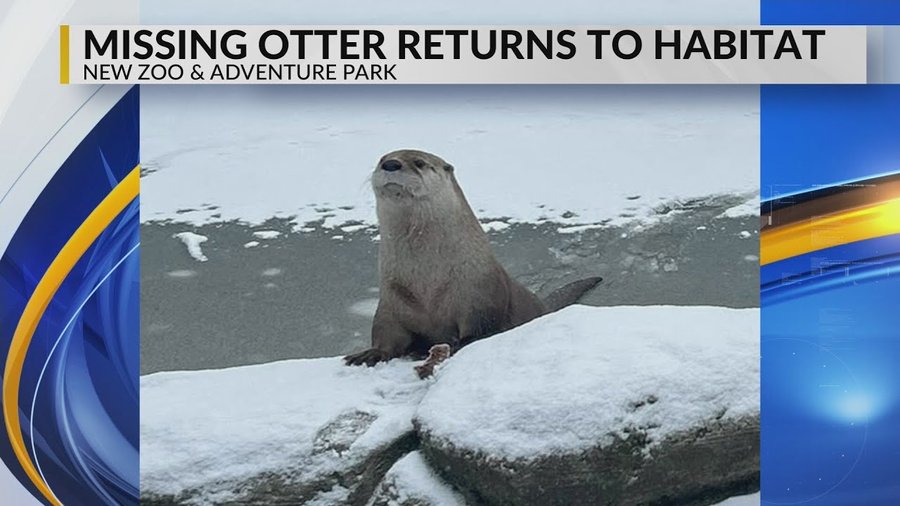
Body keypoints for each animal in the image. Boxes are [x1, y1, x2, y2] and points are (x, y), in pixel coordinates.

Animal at [344, 149, 601, 367]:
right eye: (382, 158)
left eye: (419, 162)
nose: (391, 164)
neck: (428, 284)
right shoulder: (392, 298)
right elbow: (386, 333)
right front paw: (370, 353)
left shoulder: (480, 295)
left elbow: (480, 331)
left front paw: (455, 345)